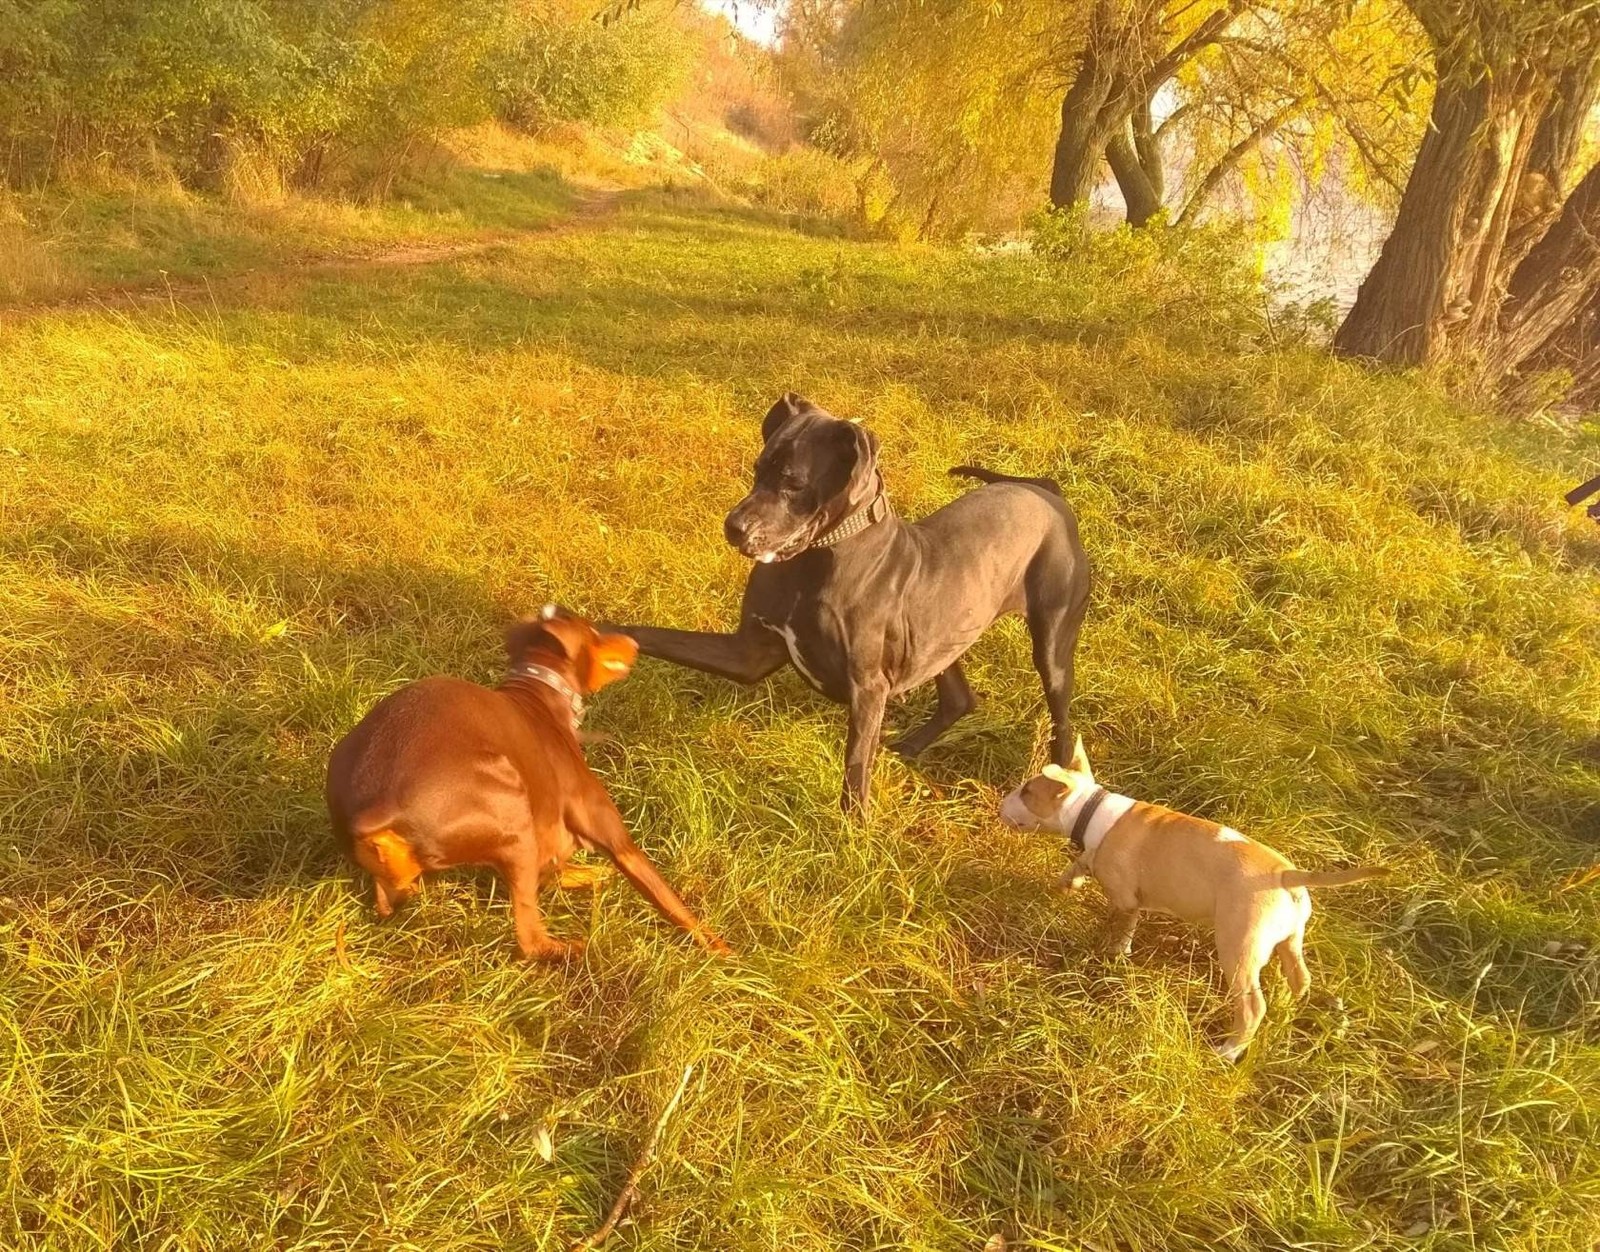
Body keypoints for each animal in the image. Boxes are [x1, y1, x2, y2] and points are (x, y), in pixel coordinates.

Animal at [324, 608, 732, 960]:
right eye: (595, 631)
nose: (634, 640)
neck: (541, 692)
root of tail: (374, 807)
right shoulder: (616, 839)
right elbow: (673, 904)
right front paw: (722, 953)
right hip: (513, 815)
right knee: (530, 940)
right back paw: (573, 949)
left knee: (390, 899)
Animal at [611, 397, 1088, 819]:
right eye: (757, 469)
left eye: (793, 483)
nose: (733, 526)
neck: (814, 561)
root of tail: (1045, 489)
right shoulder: (748, 653)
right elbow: (652, 635)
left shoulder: (867, 687)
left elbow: (856, 766)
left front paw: (852, 831)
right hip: (942, 635)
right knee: (958, 697)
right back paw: (909, 747)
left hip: (1052, 643)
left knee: (1061, 720)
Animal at [998, 739, 1388, 1063]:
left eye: (1028, 790)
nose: (1001, 804)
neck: (1091, 810)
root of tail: (1286, 875)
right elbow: (1079, 863)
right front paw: (1066, 885)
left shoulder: (1125, 898)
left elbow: (1120, 926)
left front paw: (1112, 954)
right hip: (1291, 939)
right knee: (1300, 977)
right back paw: (1288, 1009)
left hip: (1238, 946)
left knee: (1252, 1005)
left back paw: (1229, 1050)